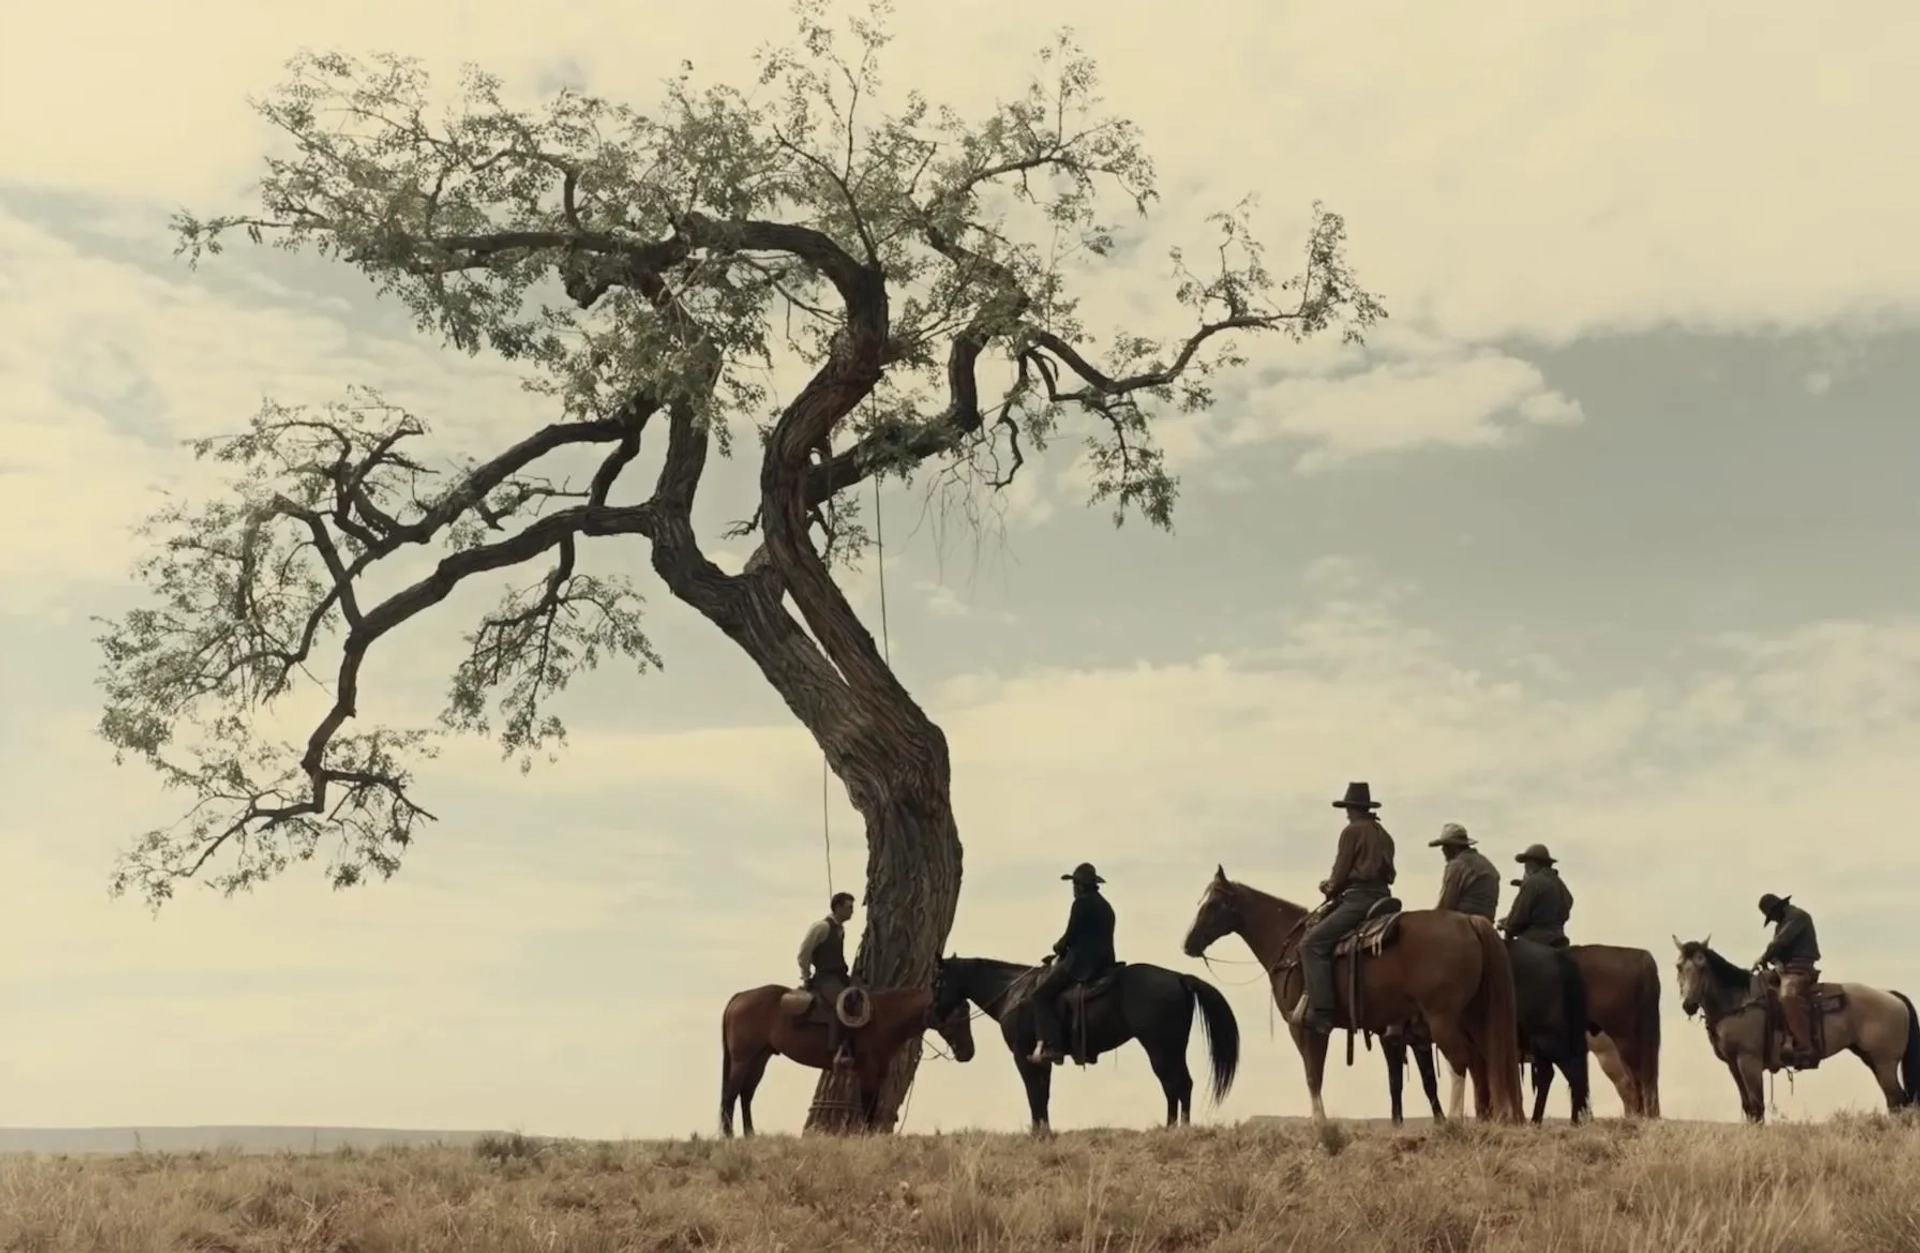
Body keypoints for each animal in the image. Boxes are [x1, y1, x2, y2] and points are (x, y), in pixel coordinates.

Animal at [718, 967, 975, 1135]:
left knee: (746, 1094)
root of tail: (739, 998)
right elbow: (867, 1105)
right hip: (742, 1059)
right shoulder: (867, 1072)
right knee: (731, 1093)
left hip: (759, 1058)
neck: (884, 1016)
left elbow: (873, 1105)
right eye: (957, 1013)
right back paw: (729, 1135)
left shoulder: (879, 1072)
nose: (968, 1053)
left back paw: (750, 1135)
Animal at [933, 947, 1244, 1135]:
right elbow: (1043, 1094)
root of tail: (1179, 978)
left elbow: (1034, 1093)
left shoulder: (1023, 1055)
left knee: (1175, 1083)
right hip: (1172, 1048)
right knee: (1180, 1084)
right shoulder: (1042, 1059)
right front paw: (1045, 1131)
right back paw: (1176, 1127)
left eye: (937, 981)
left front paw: (1037, 1133)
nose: (965, 1052)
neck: (1013, 993)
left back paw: (1175, 1128)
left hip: (1160, 1048)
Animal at [1182, 863, 1528, 1120]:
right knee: (1485, 1062)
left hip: (1442, 1019)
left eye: (1213, 904)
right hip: (1475, 1018)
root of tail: (1470, 922)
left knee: (1460, 1062)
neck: (1291, 946)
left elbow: (1313, 1075)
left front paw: (1320, 1125)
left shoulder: (1304, 1027)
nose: (1188, 944)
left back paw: (1456, 1121)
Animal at [1666, 932, 1920, 1120]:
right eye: (1678, 966)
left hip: (1885, 1062)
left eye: (1701, 966)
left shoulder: (1749, 1061)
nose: (1688, 1004)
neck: (1739, 1001)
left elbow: (1757, 1107)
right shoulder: (1733, 1064)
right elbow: (1748, 1107)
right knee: (1897, 1103)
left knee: (1899, 1102)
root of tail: (1891, 996)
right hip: (1873, 1060)